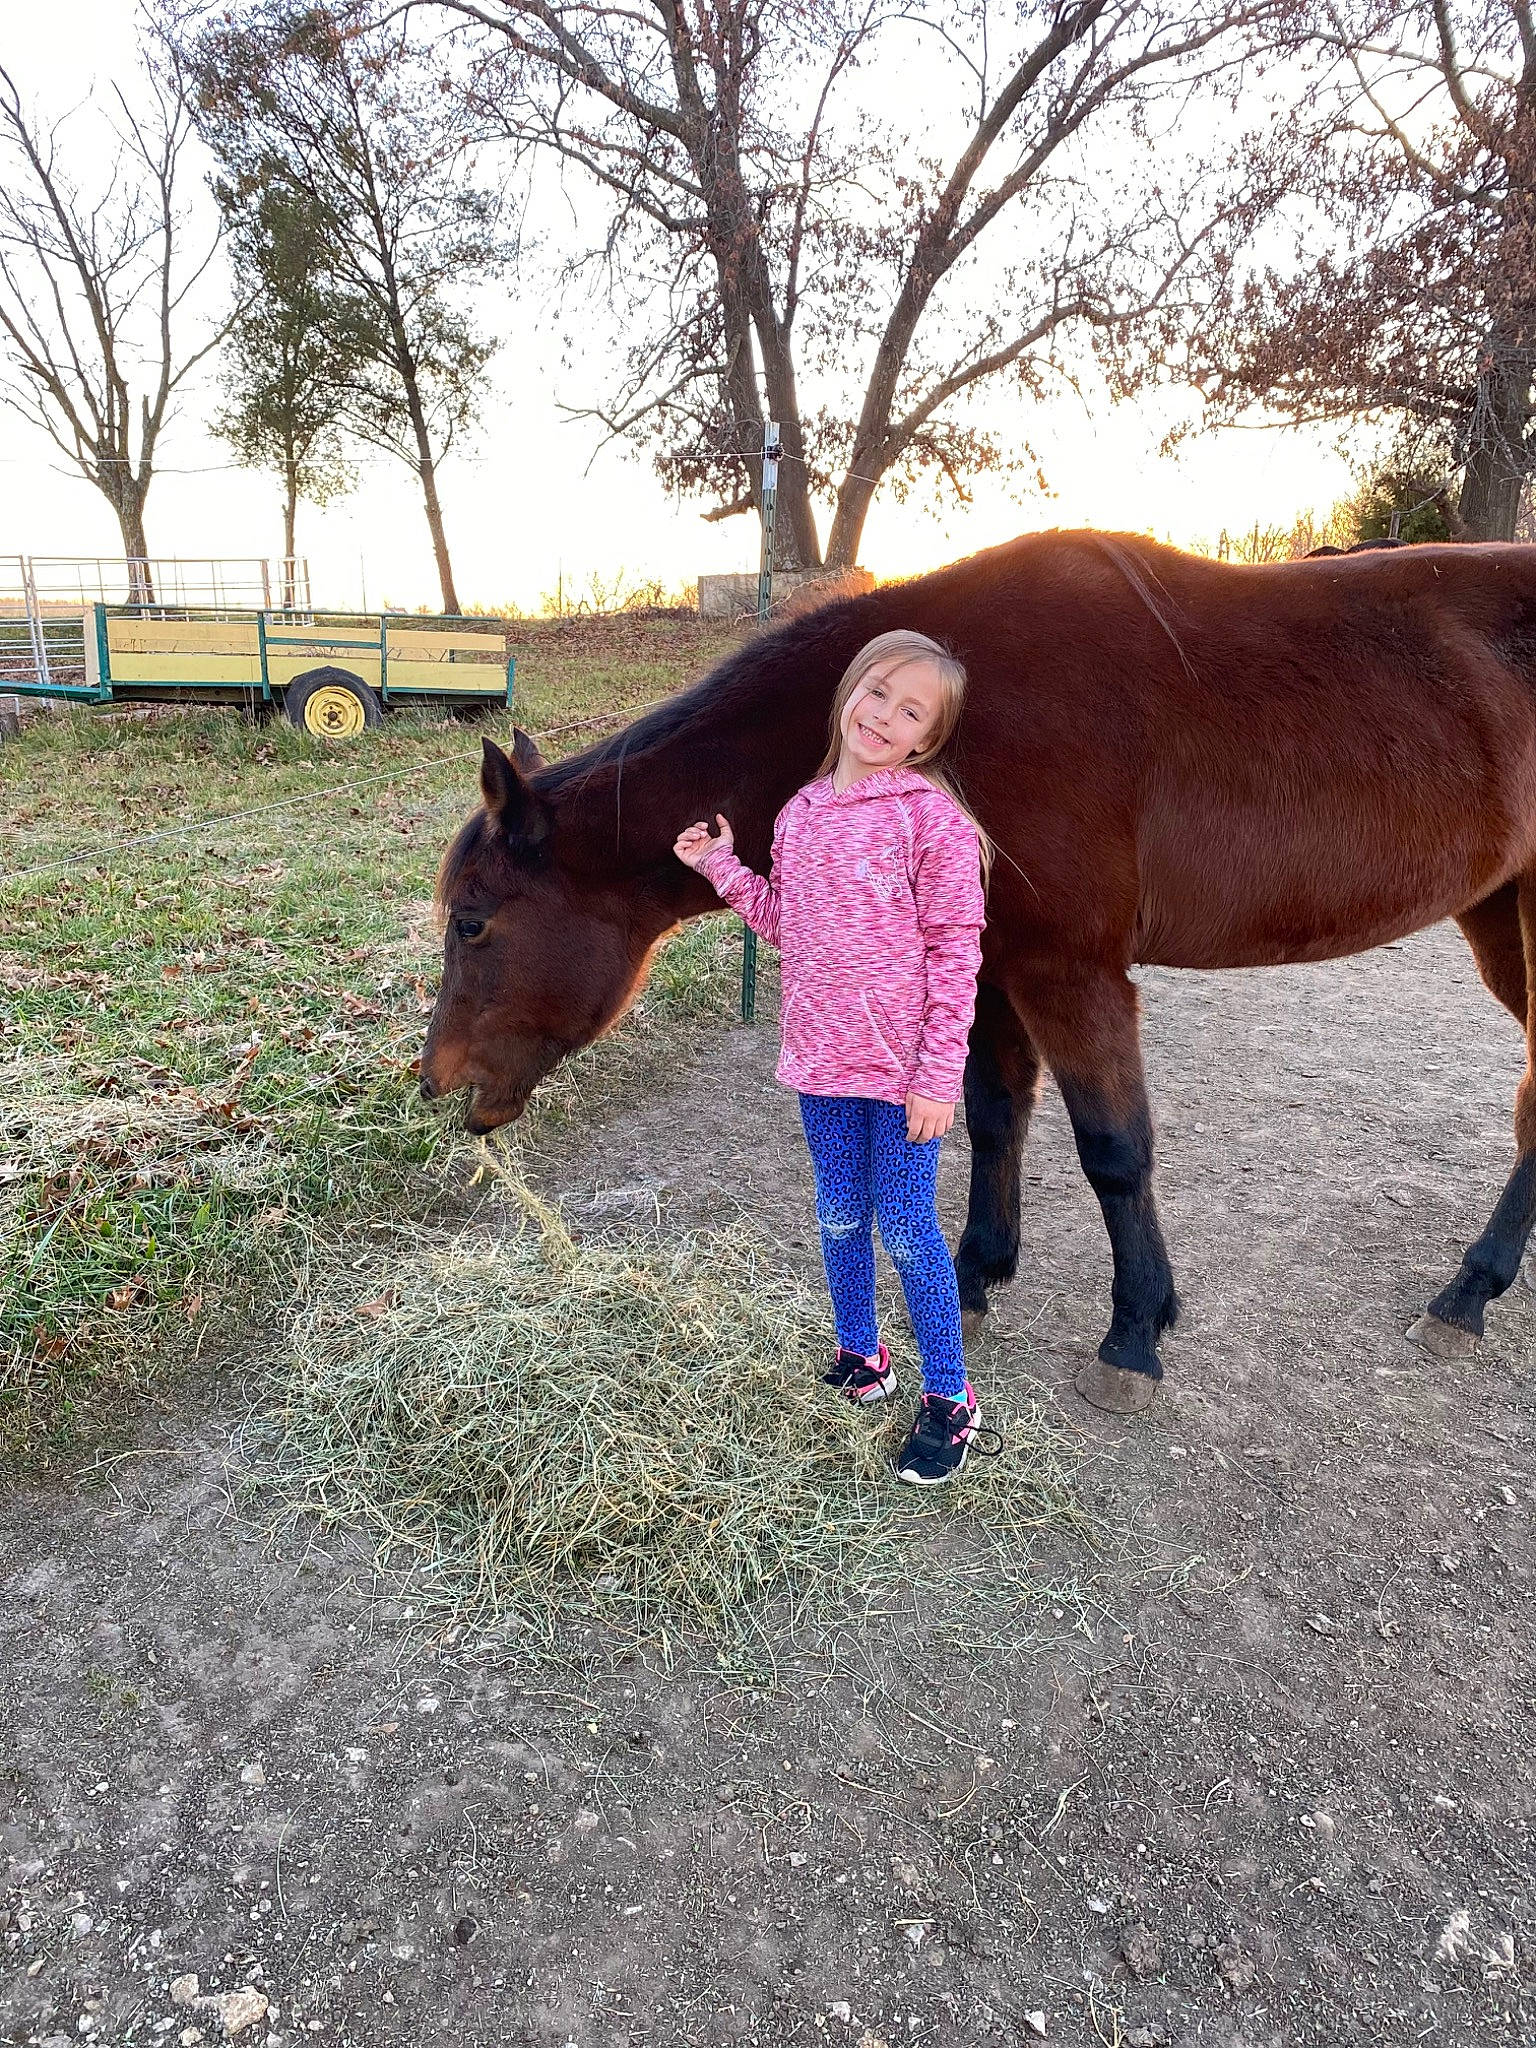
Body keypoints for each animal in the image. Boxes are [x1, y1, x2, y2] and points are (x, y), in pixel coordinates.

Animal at [421, 529, 1536, 1415]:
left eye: (472, 922)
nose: (436, 1081)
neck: (981, 715)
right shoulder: (993, 969)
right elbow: (996, 1118)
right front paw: (972, 1278)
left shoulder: (1071, 975)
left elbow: (1114, 1150)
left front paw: (1134, 1334)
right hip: (1500, 915)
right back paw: (1475, 1289)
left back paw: (1468, 1291)